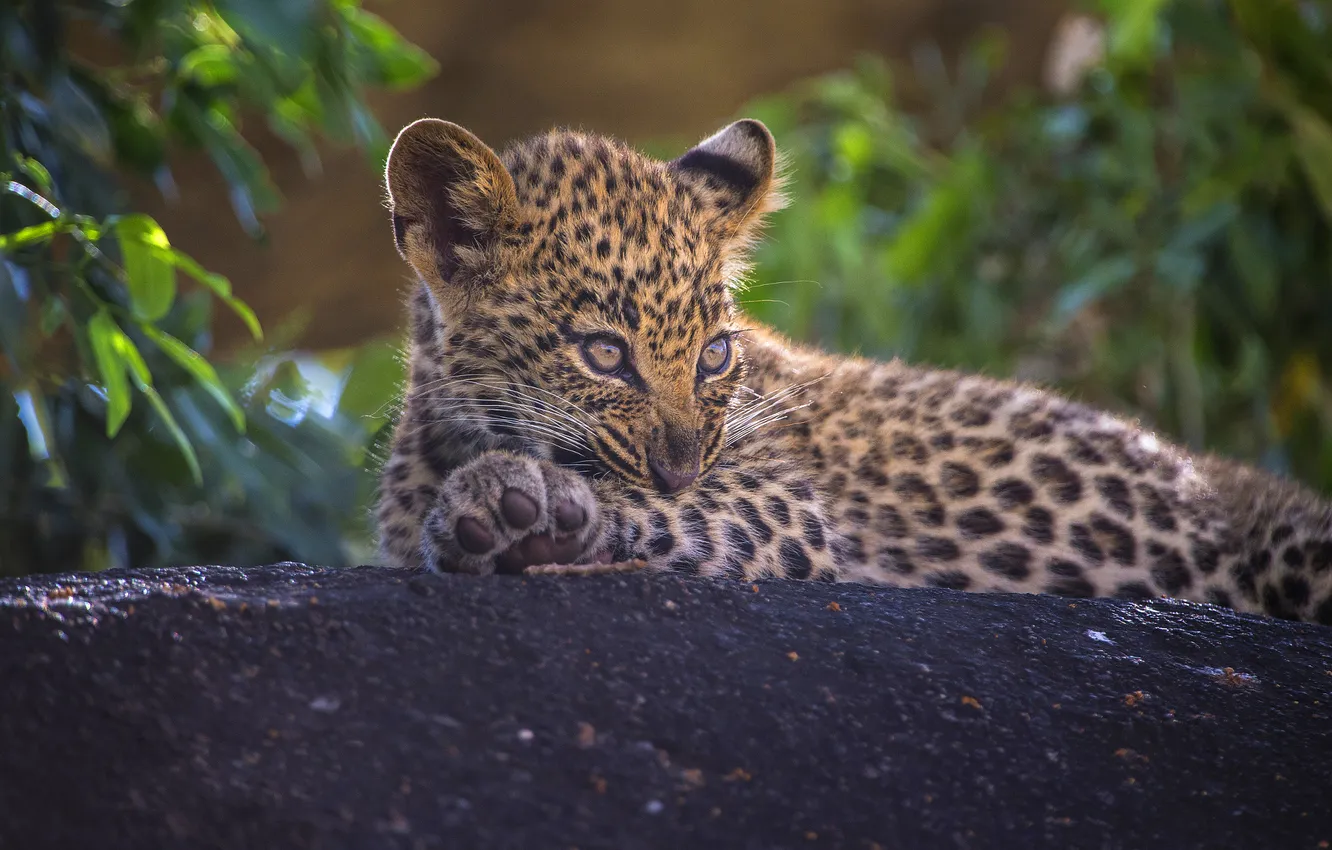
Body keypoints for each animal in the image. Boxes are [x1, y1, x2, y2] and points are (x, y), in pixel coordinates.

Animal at [375, 115, 1332, 625]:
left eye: (714, 354)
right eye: (605, 354)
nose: (683, 465)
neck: (457, 431)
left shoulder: (784, 508)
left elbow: (663, 508)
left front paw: (519, 504)